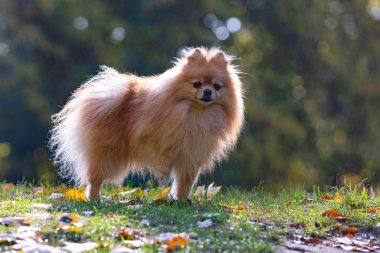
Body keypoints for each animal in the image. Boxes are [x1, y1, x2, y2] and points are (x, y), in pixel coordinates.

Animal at [49, 47, 243, 201]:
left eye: (217, 86)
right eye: (197, 84)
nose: (208, 91)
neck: (198, 112)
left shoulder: (191, 157)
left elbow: (185, 183)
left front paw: (180, 200)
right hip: (107, 154)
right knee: (94, 179)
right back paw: (95, 198)